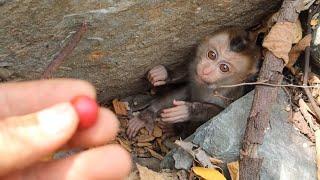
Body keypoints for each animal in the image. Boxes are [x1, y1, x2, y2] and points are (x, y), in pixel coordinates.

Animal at [126, 27, 262, 138]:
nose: (206, 71)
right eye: (212, 55)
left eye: (224, 68)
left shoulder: (231, 95)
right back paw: (147, 115)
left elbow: (219, 113)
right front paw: (164, 73)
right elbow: (188, 74)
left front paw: (187, 110)